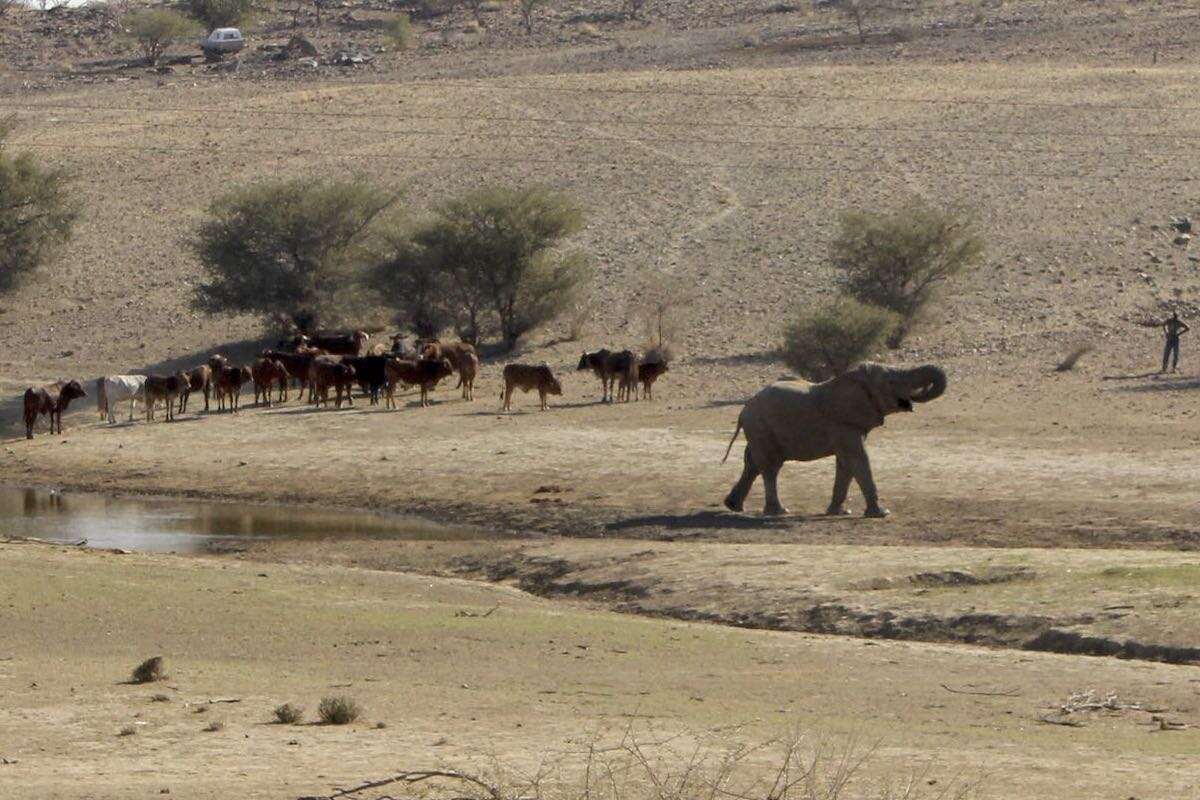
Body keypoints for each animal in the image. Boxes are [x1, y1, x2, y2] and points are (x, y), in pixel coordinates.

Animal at [721, 363, 946, 518]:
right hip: (761, 427)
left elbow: (846, 464)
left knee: (752, 464)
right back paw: (779, 512)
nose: (912, 400)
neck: (854, 378)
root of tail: (743, 410)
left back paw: (734, 506)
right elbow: (858, 459)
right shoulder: (844, 424)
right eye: (891, 383)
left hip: (759, 430)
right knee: (770, 467)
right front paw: (882, 514)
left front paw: (839, 513)